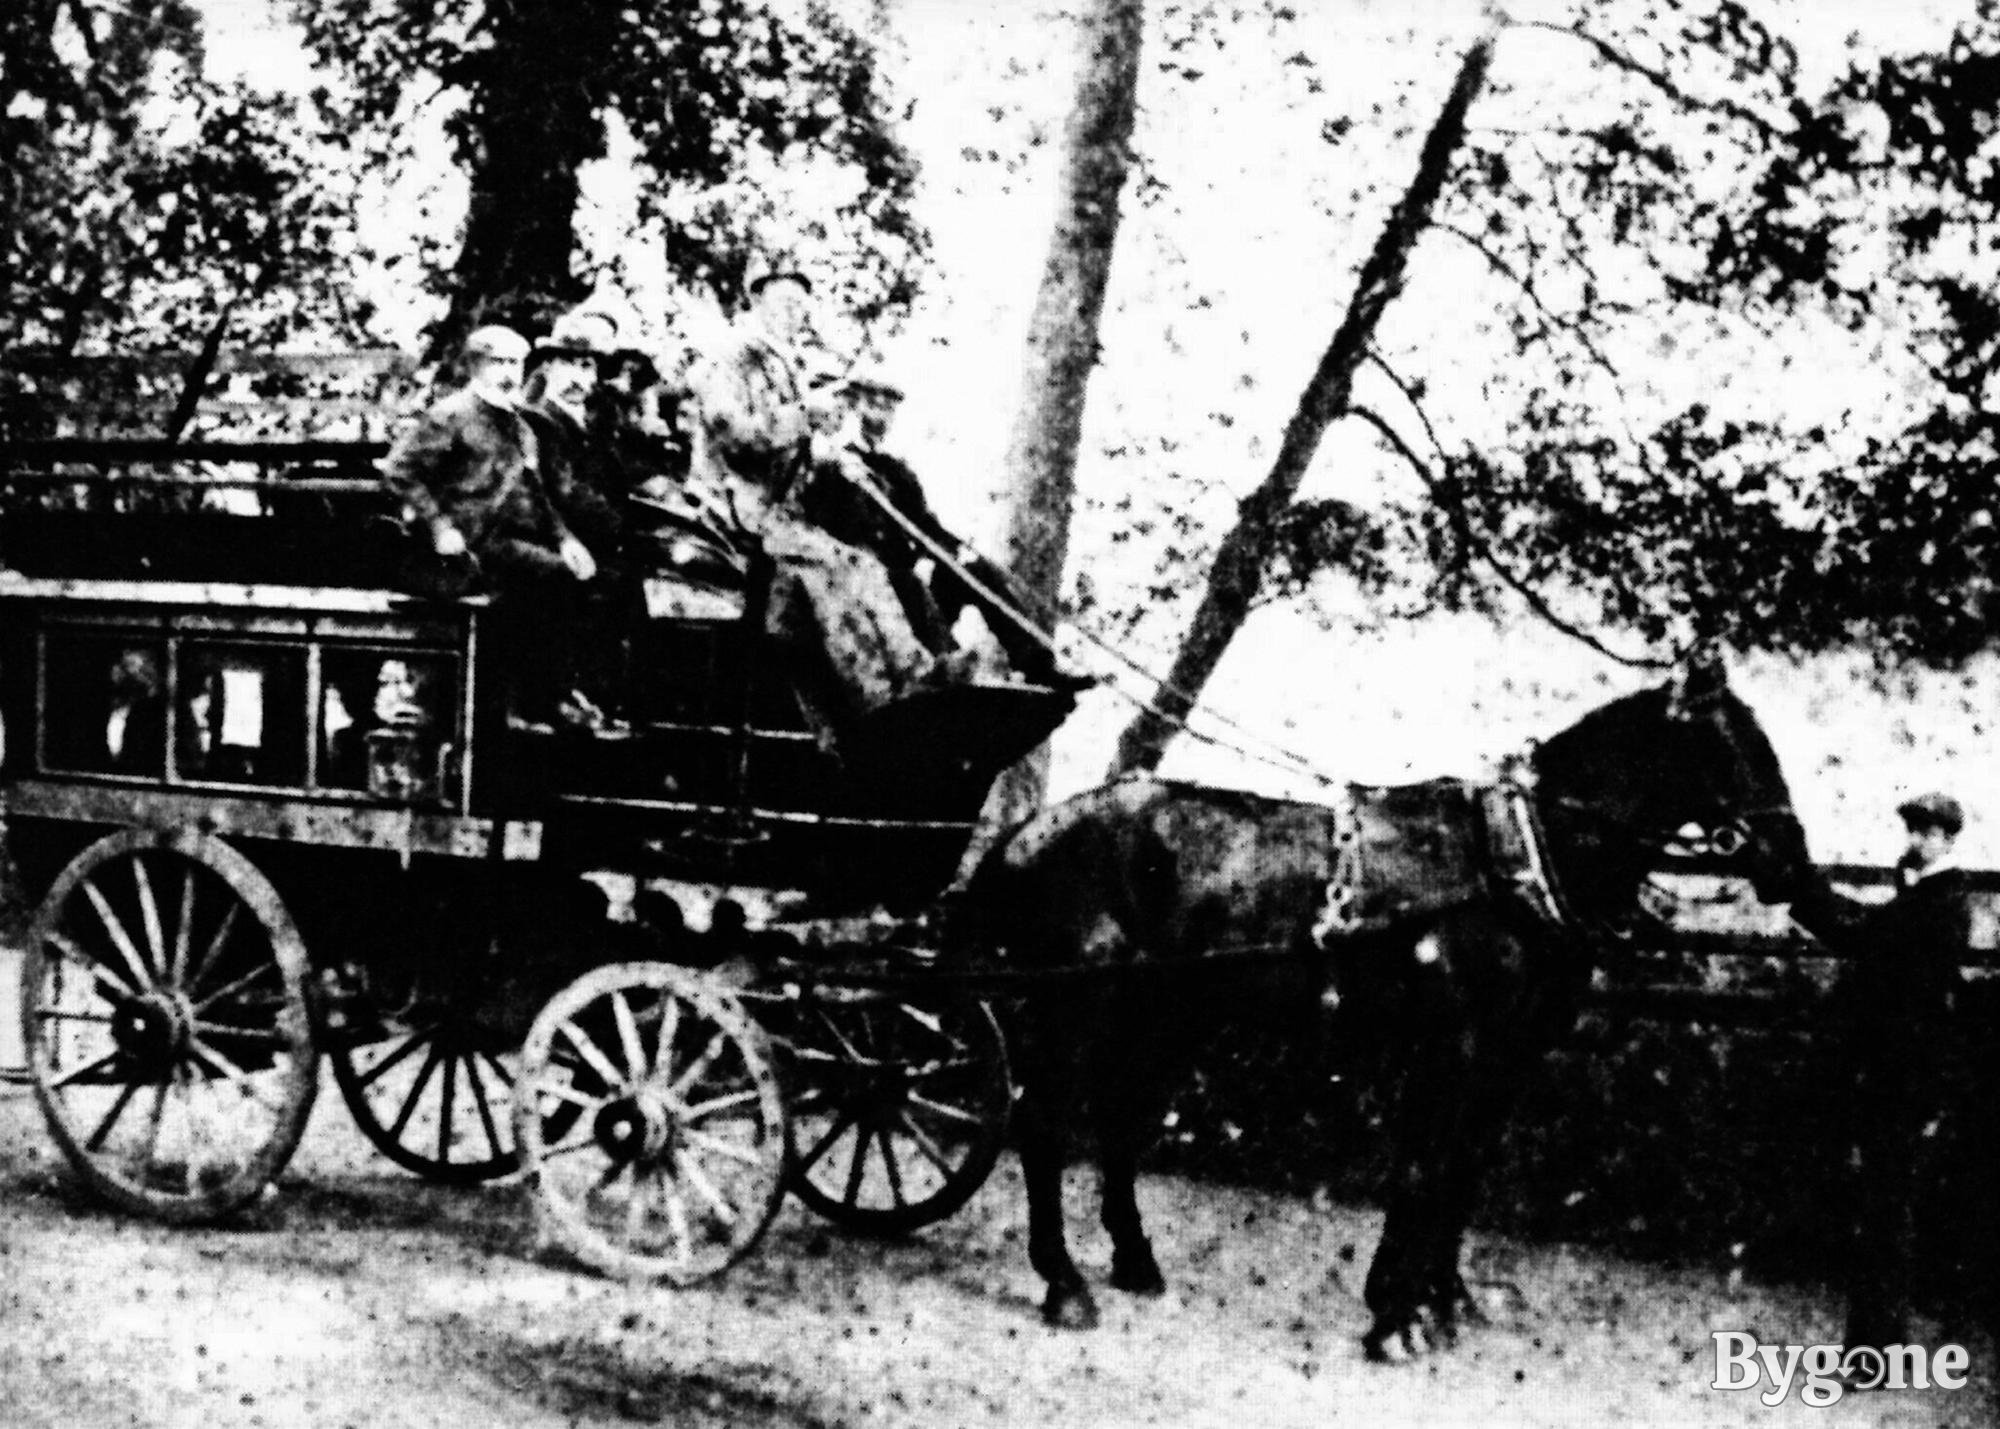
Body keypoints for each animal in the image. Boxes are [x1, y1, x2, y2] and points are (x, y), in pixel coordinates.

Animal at [960, 652, 1824, 1344]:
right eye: (1731, 747)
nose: (1790, 864)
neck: (1510, 865)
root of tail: (1030, 830)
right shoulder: (1456, 1042)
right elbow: (1423, 1169)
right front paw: (1398, 1312)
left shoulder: (1509, 1054)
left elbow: (1461, 1171)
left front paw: (1442, 1297)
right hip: (1078, 1007)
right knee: (1043, 1123)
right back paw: (1063, 1281)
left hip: (1164, 1014)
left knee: (1117, 1120)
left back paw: (1134, 1261)